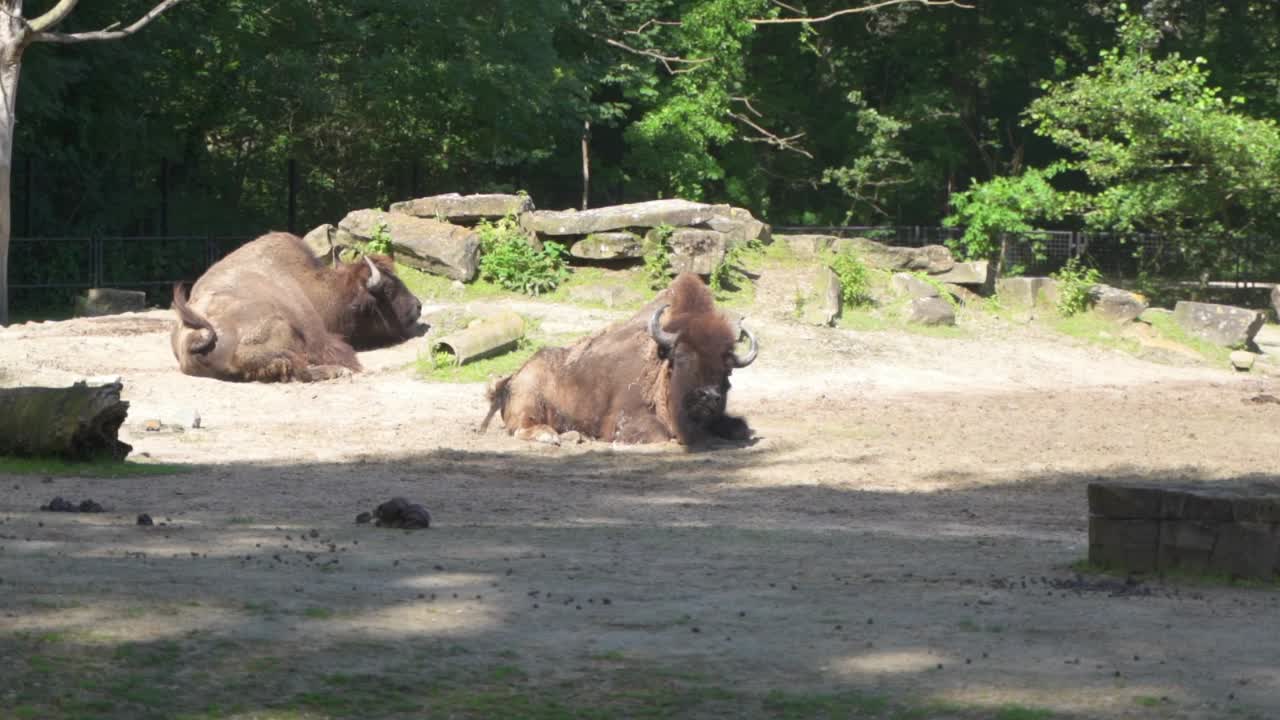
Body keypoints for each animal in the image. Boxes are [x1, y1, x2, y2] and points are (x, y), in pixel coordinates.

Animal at [171, 232, 422, 382]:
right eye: (388, 288)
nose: (418, 306)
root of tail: (193, 338)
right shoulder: (318, 337)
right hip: (280, 327)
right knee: (299, 369)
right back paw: (337, 371)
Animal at [481, 272, 757, 444]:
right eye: (682, 357)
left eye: (728, 368)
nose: (709, 396)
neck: (661, 363)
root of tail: (512, 378)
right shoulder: (626, 421)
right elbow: (658, 434)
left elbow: (740, 428)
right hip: (529, 400)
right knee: (522, 427)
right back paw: (551, 436)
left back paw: (575, 436)